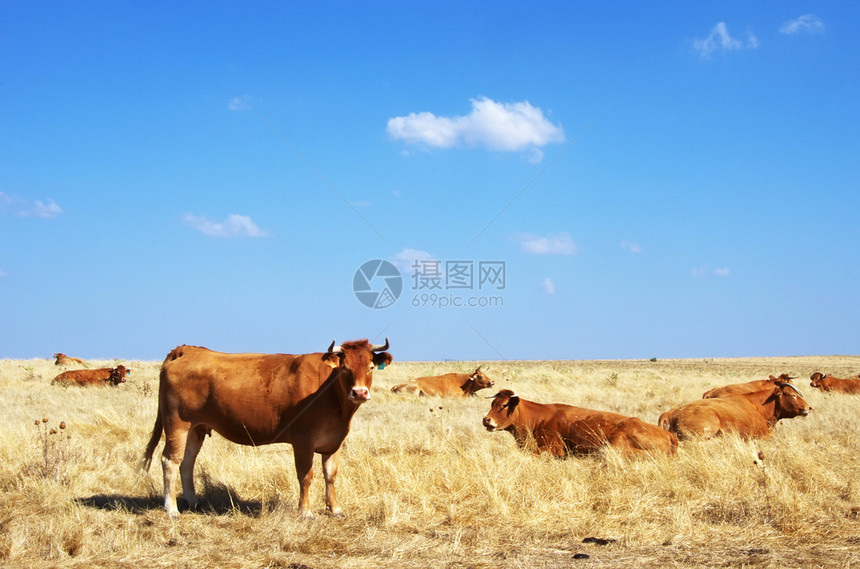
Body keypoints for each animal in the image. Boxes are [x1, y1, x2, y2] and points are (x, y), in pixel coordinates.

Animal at [142, 340, 394, 516]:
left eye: (370, 366)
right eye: (345, 368)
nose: (359, 392)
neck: (329, 393)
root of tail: (186, 350)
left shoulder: (334, 441)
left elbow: (330, 475)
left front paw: (335, 509)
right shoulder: (303, 441)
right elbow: (306, 476)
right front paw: (305, 511)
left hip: (196, 428)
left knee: (187, 462)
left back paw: (193, 501)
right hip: (177, 424)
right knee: (170, 461)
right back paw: (171, 509)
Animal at [480, 388, 676, 460]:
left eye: (504, 405)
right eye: (492, 403)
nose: (486, 419)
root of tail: (669, 434)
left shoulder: (555, 448)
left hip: (614, 445)